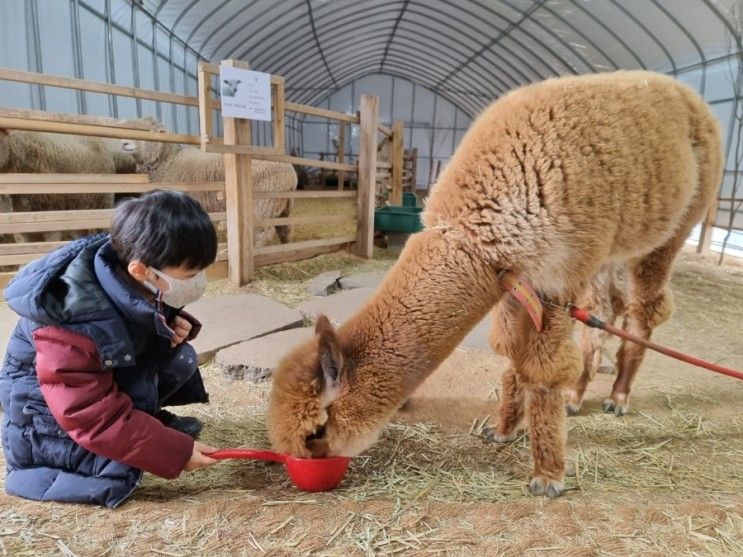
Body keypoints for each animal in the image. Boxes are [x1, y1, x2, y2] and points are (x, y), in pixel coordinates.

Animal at [121, 116, 296, 245]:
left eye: (149, 131)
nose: (124, 142)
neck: (167, 161)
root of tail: (291, 172)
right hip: (280, 205)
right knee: (284, 228)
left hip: (262, 204)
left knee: (264, 232)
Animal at [264, 71, 724, 498]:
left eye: (316, 432)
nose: (308, 467)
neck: (481, 225)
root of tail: (694, 99)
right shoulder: (514, 277)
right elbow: (513, 355)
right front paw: (503, 430)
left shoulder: (558, 272)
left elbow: (543, 371)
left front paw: (547, 476)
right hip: (605, 256)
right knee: (605, 314)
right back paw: (577, 398)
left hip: (672, 227)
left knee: (644, 311)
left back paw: (619, 397)